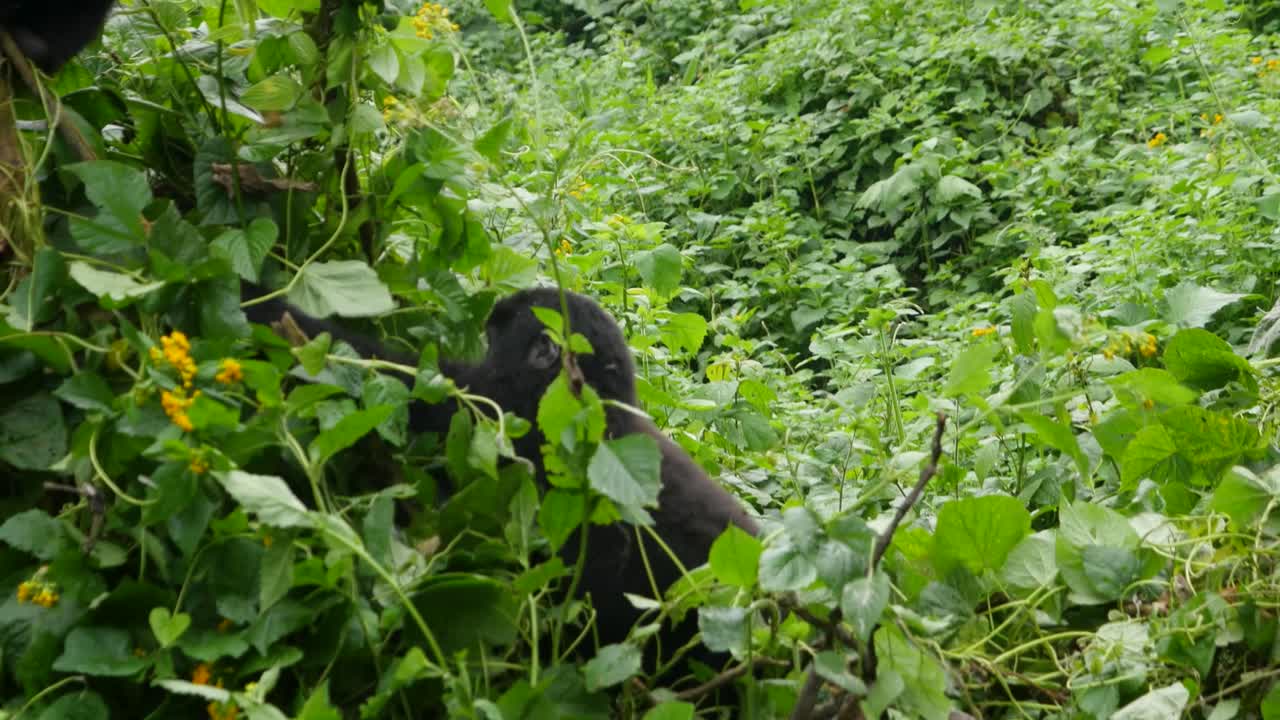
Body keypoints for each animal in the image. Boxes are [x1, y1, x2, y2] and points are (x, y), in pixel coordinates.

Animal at [239, 282, 761, 678]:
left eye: (496, 332)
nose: (488, 315)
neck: (592, 400)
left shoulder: (493, 411)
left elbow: (392, 383)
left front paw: (258, 302)